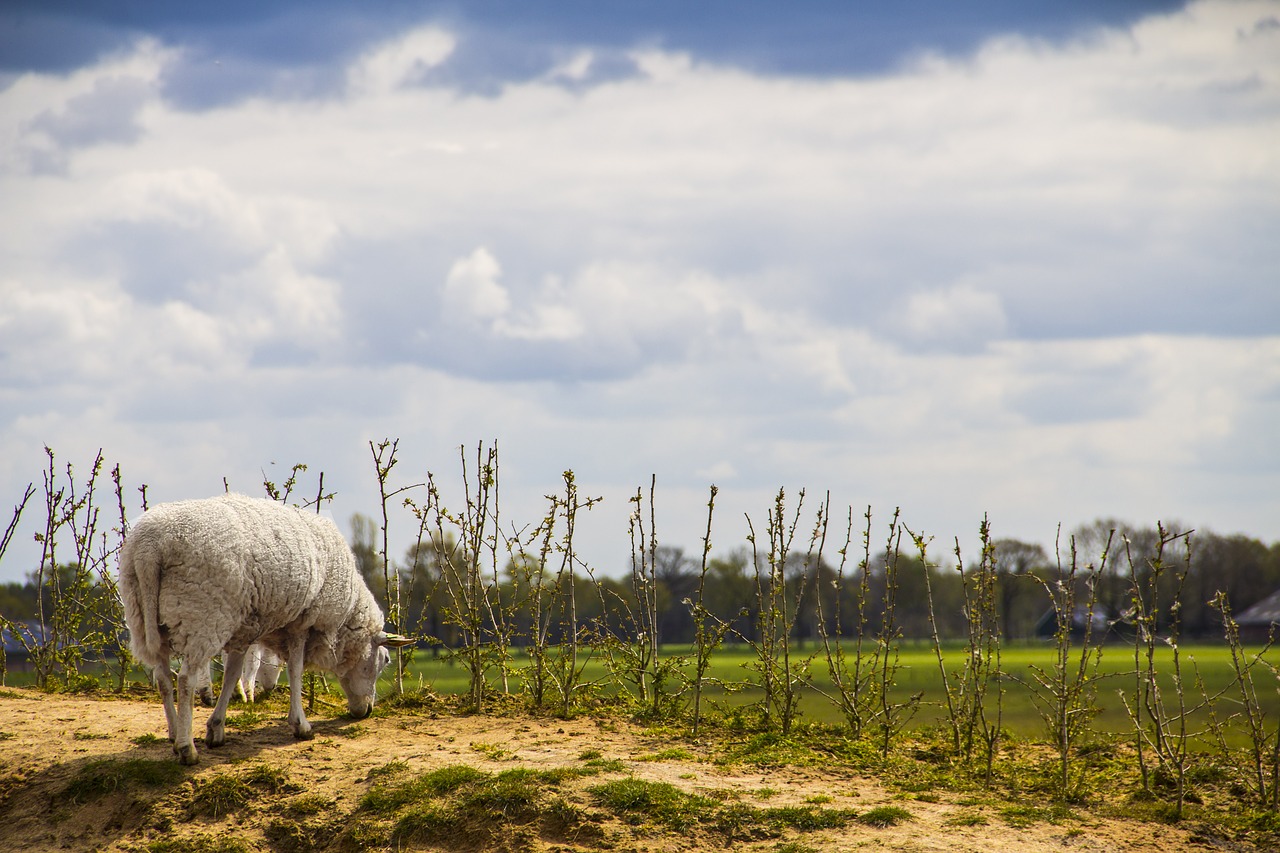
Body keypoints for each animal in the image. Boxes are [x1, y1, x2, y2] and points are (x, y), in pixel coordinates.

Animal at [119, 491, 409, 763]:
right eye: (384, 660)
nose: (367, 711)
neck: (345, 617)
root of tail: (149, 548)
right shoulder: (301, 623)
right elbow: (295, 670)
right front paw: (301, 724)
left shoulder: (243, 631)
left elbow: (233, 675)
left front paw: (217, 728)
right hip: (202, 613)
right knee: (185, 679)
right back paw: (186, 748)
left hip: (143, 614)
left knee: (163, 678)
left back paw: (173, 733)